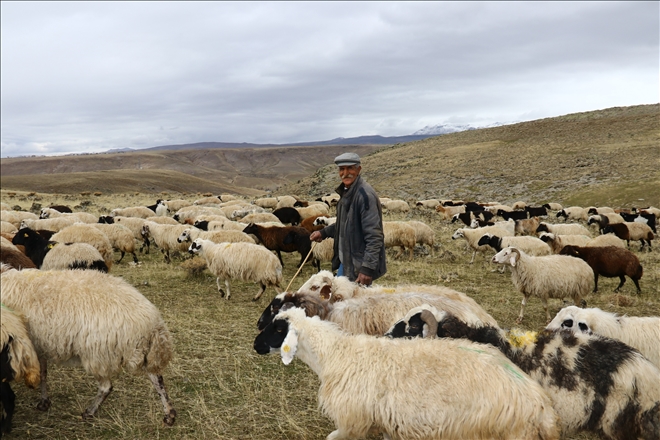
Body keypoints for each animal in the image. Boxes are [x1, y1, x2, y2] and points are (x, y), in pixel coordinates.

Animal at [255, 308, 560, 440]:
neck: (336, 355)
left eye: (278, 328)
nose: (255, 345)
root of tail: (541, 405)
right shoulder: (385, 421)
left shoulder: (353, 421)